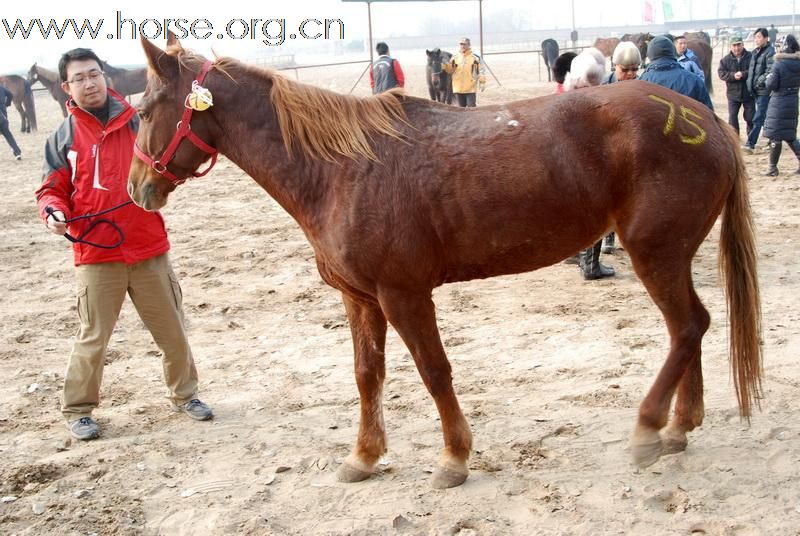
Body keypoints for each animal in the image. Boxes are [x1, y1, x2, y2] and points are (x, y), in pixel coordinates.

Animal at [126, 34, 764, 490]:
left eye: (148, 109)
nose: (136, 189)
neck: (341, 170)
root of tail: (706, 121)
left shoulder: (404, 294)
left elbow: (434, 372)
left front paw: (454, 458)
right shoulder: (359, 299)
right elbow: (367, 375)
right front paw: (364, 456)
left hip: (655, 252)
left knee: (687, 326)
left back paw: (648, 430)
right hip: (669, 256)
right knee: (691, 328)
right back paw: (679, 427)